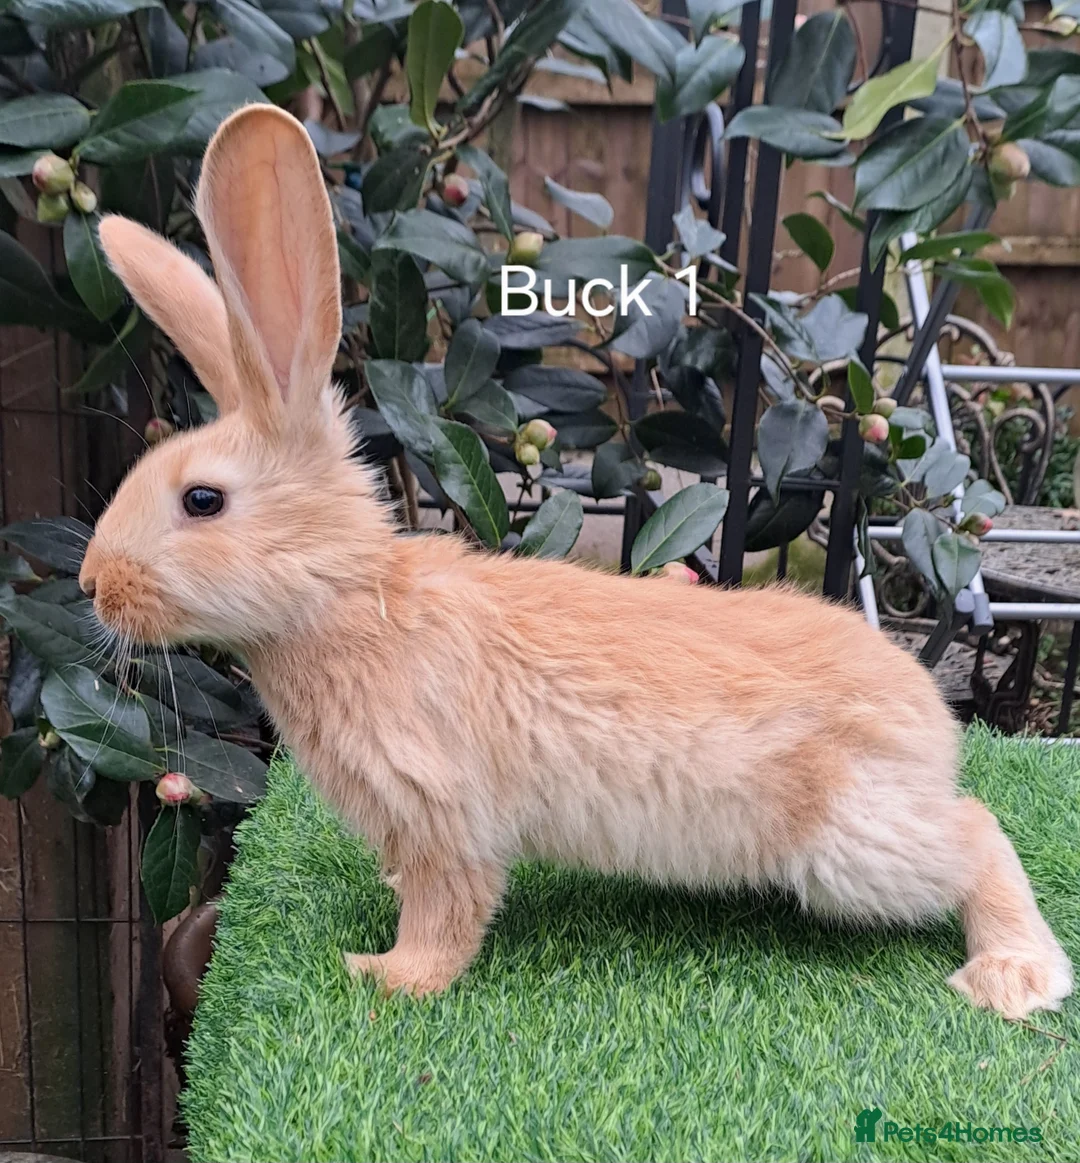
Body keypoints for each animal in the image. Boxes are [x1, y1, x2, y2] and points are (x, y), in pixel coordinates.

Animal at [79, 104, 1072, 1021]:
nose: (92, 584)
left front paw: (388, 977)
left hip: (854, 849)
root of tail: (932, 725)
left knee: (978, 832)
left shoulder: (443, 812)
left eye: (202, 501)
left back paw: (1013, 974)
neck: (347, 598)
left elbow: (450, 911)